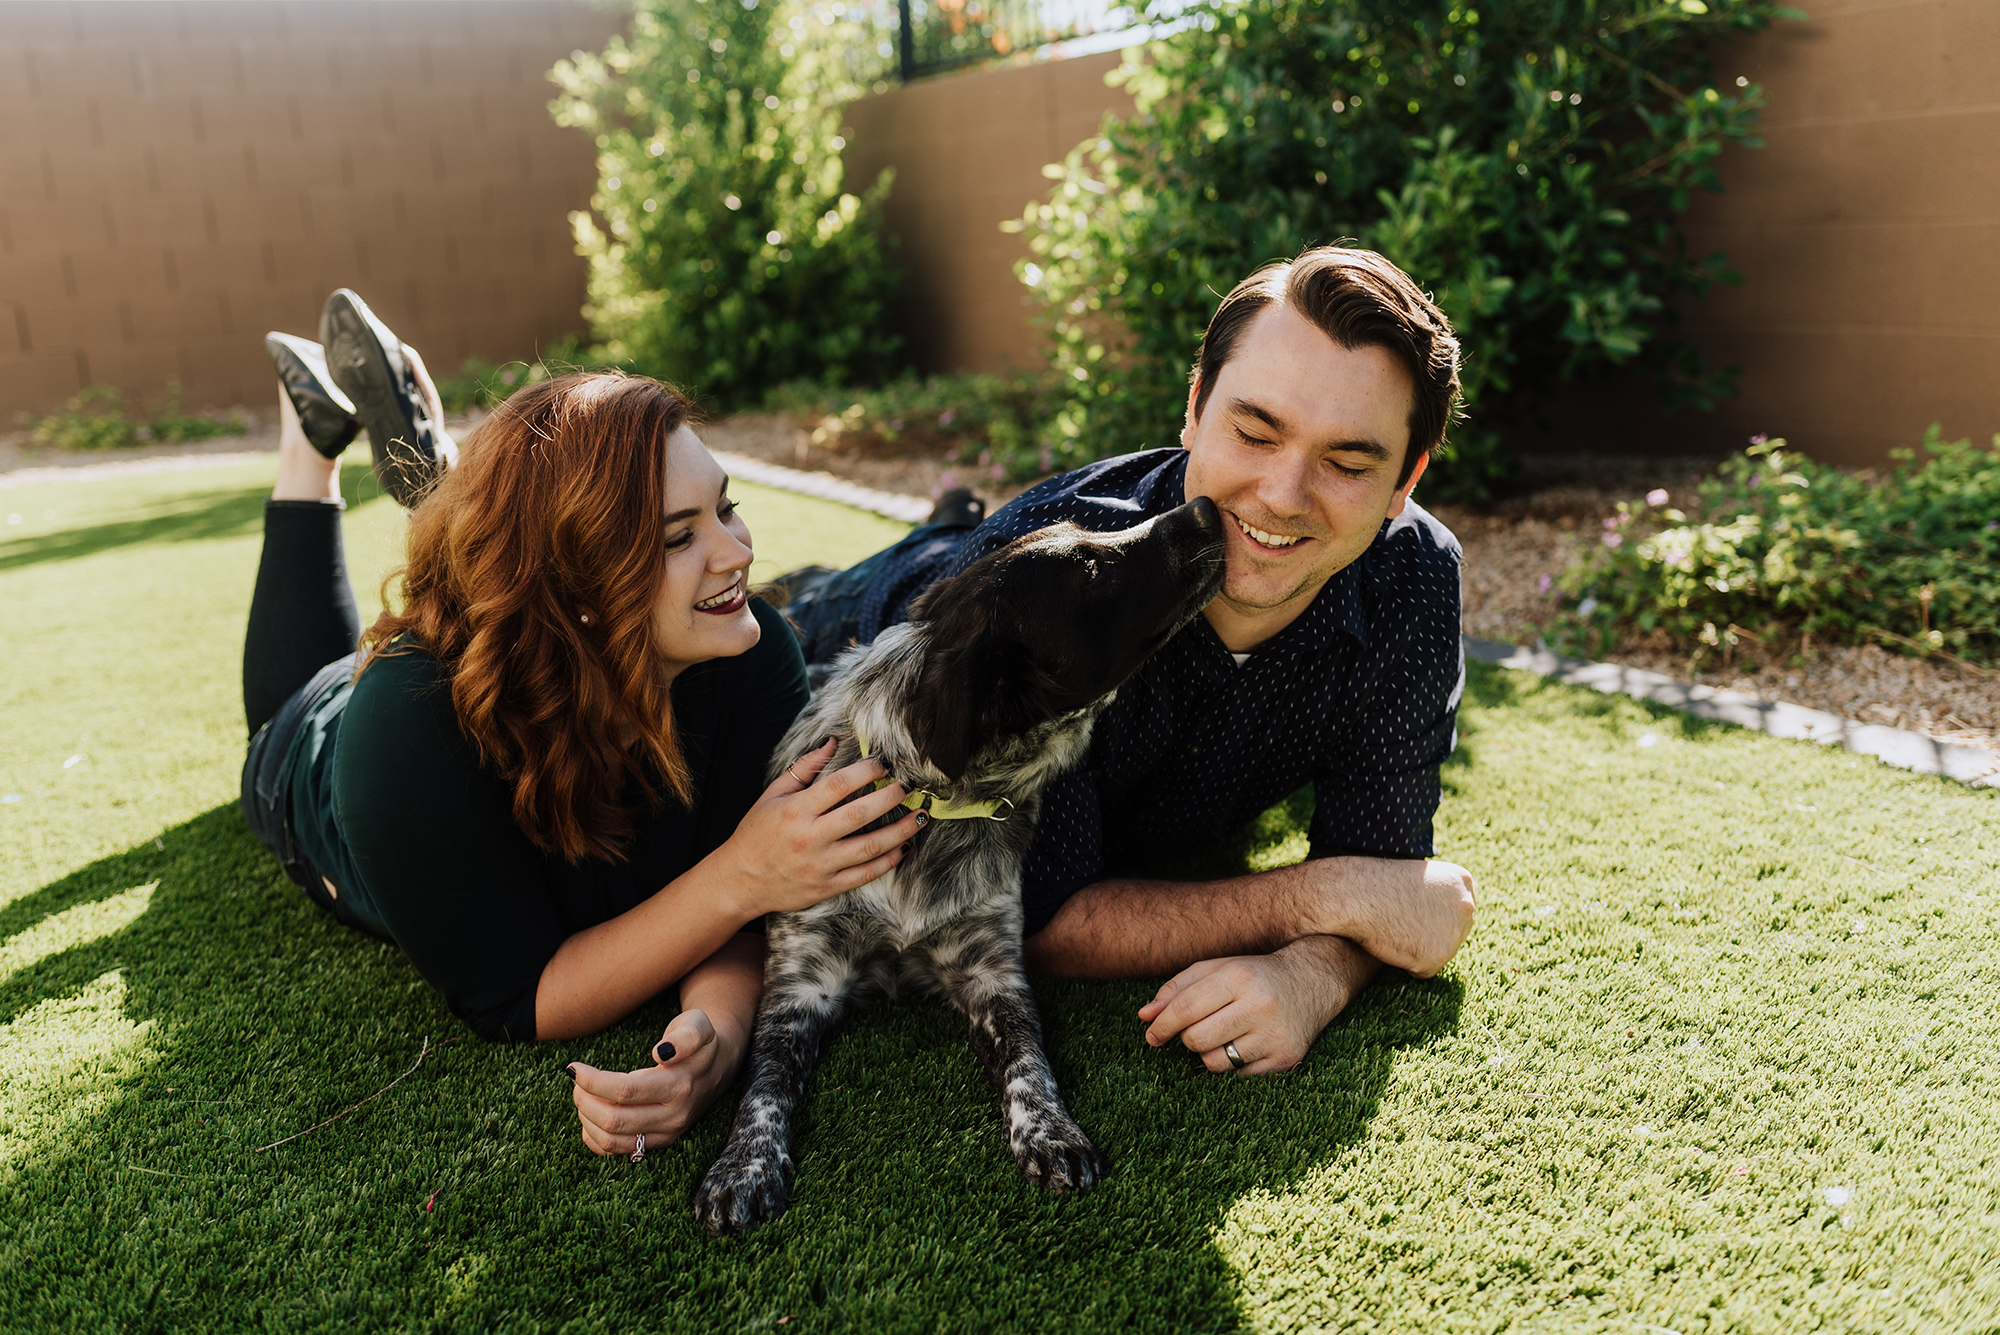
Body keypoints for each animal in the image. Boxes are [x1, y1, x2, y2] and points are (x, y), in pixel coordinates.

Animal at [696, 495, 1224, 1239]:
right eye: (1089, 568)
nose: (1204, 506)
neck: (924, 800)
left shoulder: (991, 970)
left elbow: (1031, 1062)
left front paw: (1050, 1132)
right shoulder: (802, 981)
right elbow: (763, 1086)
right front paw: (743, 1165)